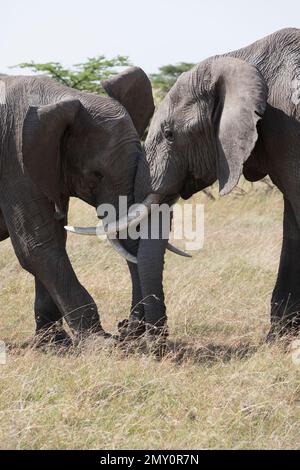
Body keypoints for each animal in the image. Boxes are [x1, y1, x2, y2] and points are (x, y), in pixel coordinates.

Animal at [0, 67, 183, 346]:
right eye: (96, 175)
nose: (125, 328)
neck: (59, 96)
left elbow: (55, 238)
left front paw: (54, 344)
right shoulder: (14, 162)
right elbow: (36, 245)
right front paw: (100, 343)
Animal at [77, 26, 300, 342]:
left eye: (169, 134)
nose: (127, 329)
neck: (240, 57)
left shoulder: (289, 130)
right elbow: (292, 221)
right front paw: (278, 338)